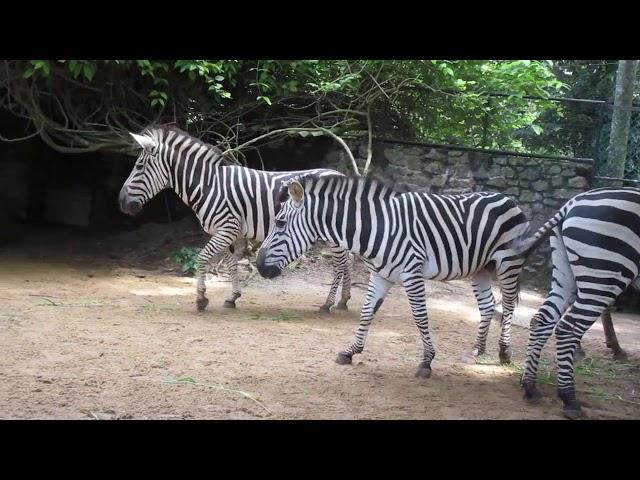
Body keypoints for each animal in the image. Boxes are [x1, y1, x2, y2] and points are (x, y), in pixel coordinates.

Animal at [117, 124, 352, 312]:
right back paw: (343, 301)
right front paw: (233, 297)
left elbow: (202, 258)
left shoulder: (227, 227)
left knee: (339, 264)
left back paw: (328, 303)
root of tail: (343, 176)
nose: (121, 202)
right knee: (347, 261)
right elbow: (231, 264)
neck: (209, 185)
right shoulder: (225, 231)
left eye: (138, 167)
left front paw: (201, 298)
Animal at [255, 174, 528, 376]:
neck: (377, 229)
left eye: (280, 223)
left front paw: (427, 361)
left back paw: (505, 352)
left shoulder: (412, 274)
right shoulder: (380, 275)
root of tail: (507, 197)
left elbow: (420, 317)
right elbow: (366, 312)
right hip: (481, 268)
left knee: (509, 305)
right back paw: (478, 350)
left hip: (508, 263)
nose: (258, 266)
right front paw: (350, 351)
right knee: (487, 305)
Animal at [516, 186, 640, 418]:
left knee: (542, 320)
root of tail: (571, 203)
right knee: (568, 328)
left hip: (566, 273)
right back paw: (569, 399)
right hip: (606, 271)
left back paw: (530, 385)